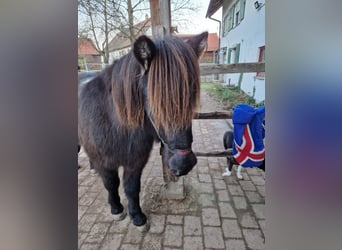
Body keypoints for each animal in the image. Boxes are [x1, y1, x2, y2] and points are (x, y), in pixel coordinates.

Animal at [79, 32, 208, 229]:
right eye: (155, 100)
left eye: (192, 96)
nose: (184, 164)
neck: (115, 125)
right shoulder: (105, 162)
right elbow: (111, 184)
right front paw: (116, 209)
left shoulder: (135, 162)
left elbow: (132, 188)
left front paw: (137, 217)